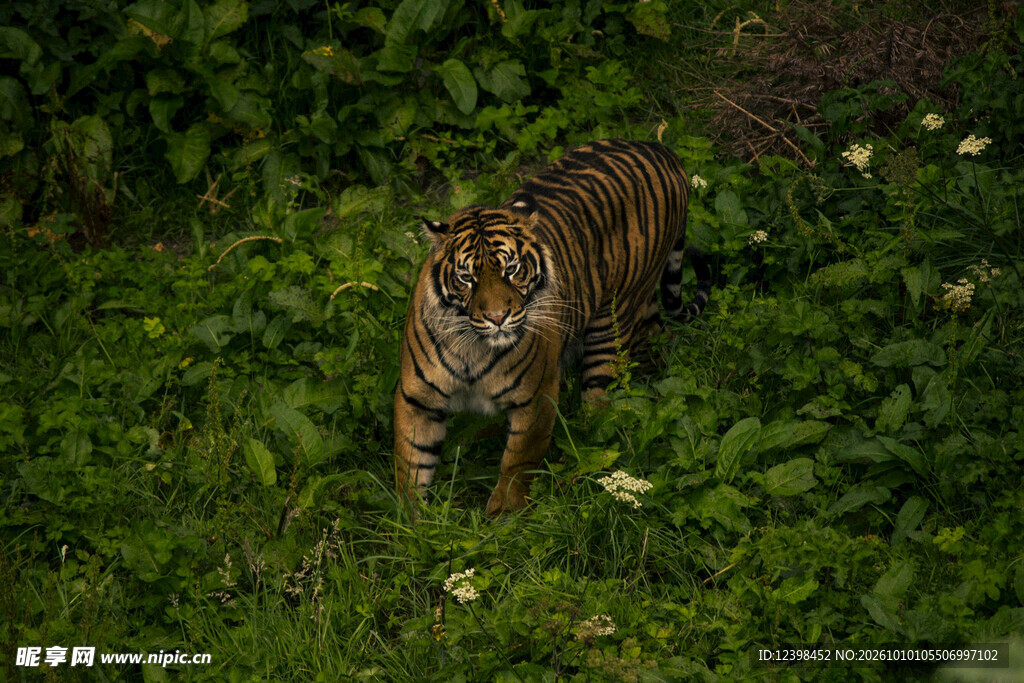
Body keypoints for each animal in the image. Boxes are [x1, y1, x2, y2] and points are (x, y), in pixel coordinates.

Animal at [394, 139, 712, 514]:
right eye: (466, 278)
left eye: (512, 270)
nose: (497, 317)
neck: (473, 345)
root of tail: (661, 149)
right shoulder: (417, 398)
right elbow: (410, 465)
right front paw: (410, 520)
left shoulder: (536, 396)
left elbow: (517, 463)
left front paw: (503, 515)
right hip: (643, 304)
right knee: (658, 337)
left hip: (613, 318)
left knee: (599, 406)